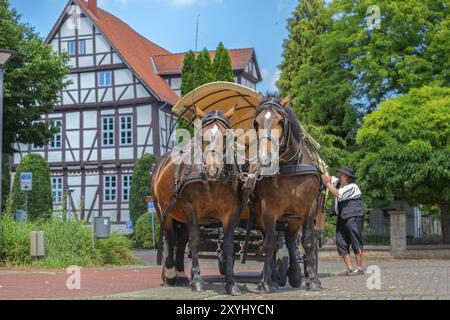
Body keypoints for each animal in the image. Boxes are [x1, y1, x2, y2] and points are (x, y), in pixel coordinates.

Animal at [151, 107, 243, 296]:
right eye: (201, 136)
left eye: (227, 136)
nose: (213, 169)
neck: (212, 181)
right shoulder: (191, 209)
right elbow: (194, 242)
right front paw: (198, 280)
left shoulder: (231, 213)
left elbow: (229, 245)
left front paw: (231, 282)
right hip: (165, 212)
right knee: (171, 239)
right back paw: (171, 273)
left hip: (182, 217)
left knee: (181, 241)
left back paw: (181, 274)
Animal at [253, 96, 324, 294]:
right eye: (256, 123)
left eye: (280, 121)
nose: (265, 158)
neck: (289, 167)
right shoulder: (268, 210)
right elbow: (269, 243)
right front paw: (266, 282)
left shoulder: (309, 209)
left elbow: (307, 242)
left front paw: (313, 280)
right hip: (263, 217)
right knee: (271, 241)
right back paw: (272, 276)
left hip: (293, 218)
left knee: (291, 241)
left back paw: (295, 275)